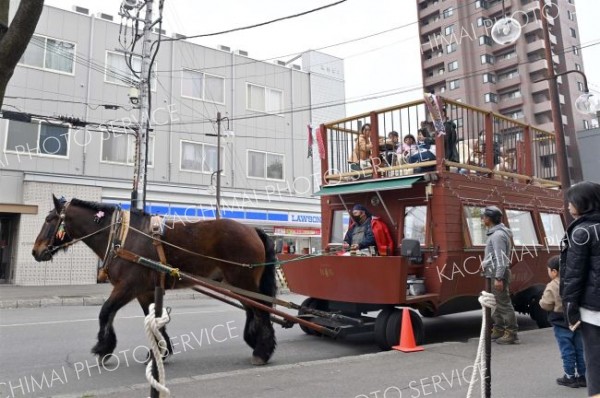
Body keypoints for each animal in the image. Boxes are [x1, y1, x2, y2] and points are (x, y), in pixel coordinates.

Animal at [31, 194, 278, 366]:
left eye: (49, 219)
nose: (35, 251)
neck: (123, 237)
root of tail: (253, 229)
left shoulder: (128, 287)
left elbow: (106, 311)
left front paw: (103, 348)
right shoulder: (145, 291)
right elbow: (154, 318)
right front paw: (161, 351)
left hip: (242, 280)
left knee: (260, 309)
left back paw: (262, 351)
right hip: (236, 283)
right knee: (253, 309)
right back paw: (256, 341)